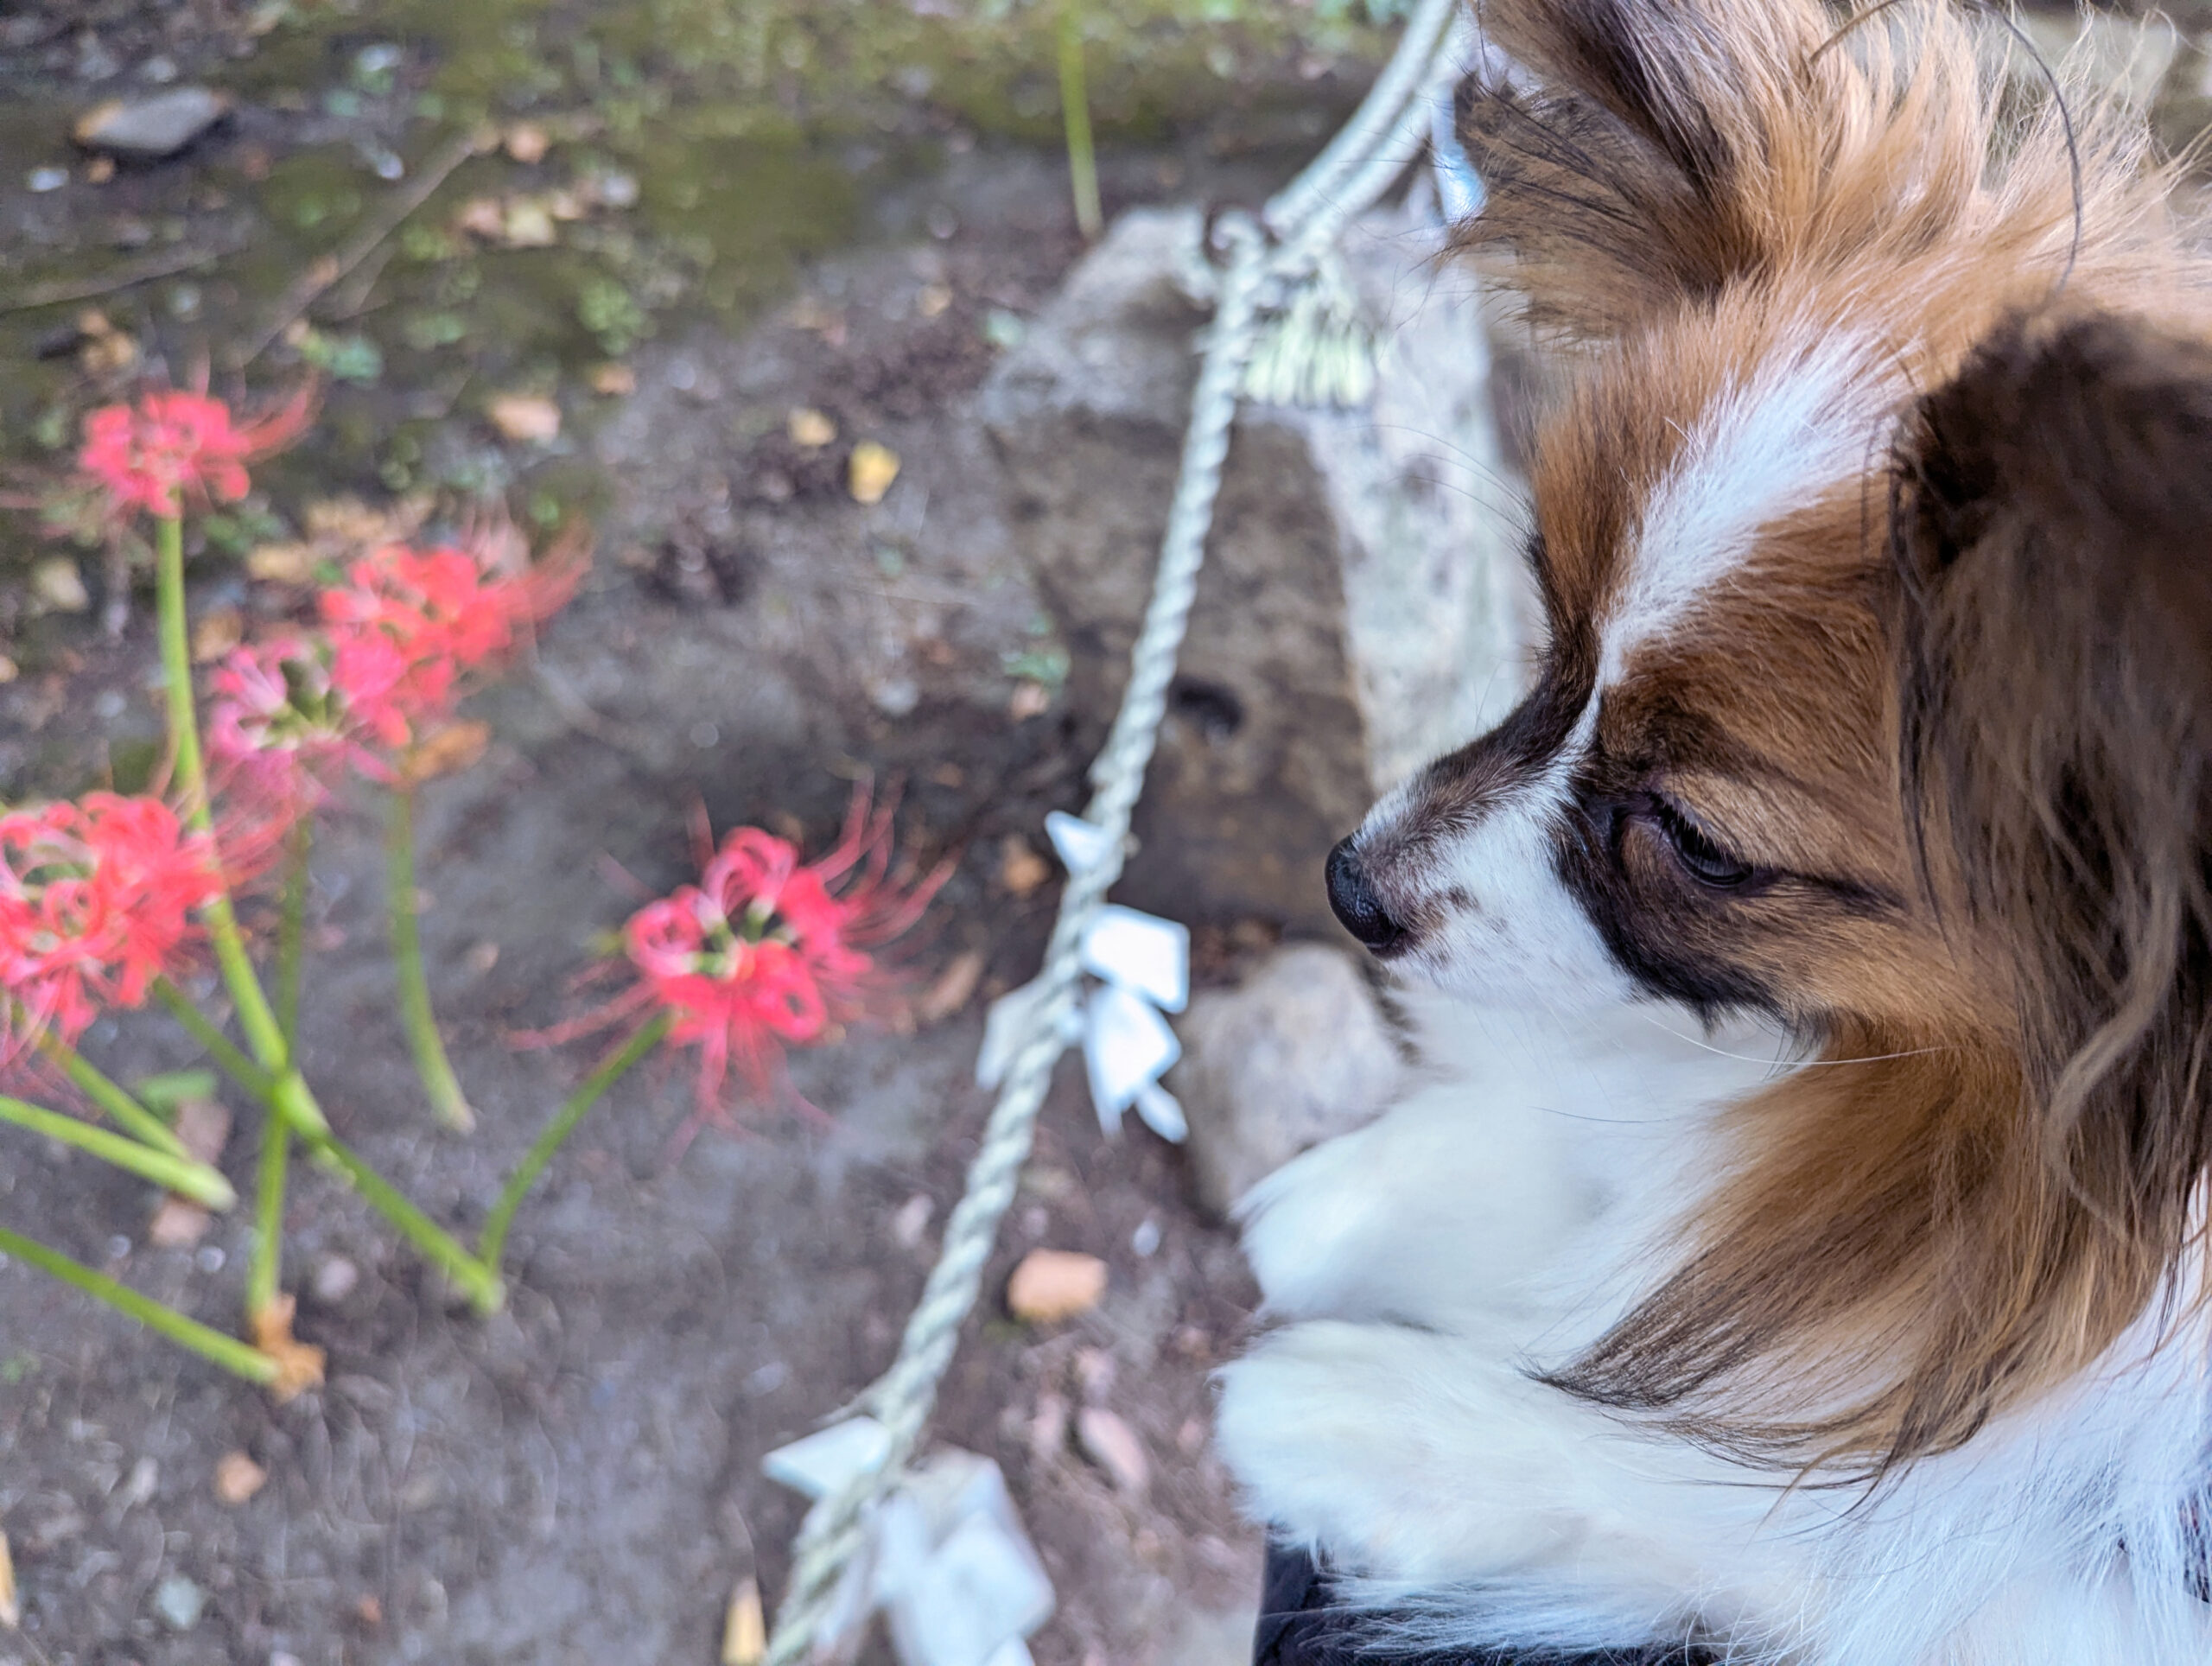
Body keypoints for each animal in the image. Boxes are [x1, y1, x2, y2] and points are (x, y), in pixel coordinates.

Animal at [1211, 3, 2212, 1663]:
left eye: (1699, 842)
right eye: (1552, 640)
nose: (1352, 885)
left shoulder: (2054, 1574)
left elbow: (1789, 1506)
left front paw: (1371, 1419)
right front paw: (1407, 1184)